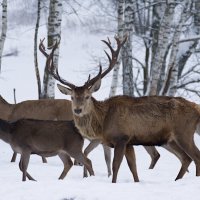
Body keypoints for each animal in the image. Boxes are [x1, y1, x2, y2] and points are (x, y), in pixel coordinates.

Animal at [40, 36, 200, 183]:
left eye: (87, 96)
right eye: (72, 97)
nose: (78, 110)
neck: (103, 122)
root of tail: (196, 107)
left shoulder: (121, 138)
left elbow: (116, 165)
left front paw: (113, 182)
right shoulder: (129, 142)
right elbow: (133, 167)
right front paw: (136, 182)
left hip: (184, 132)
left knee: (195, 156)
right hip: (170, 139)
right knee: (186, 158)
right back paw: (176, 179)